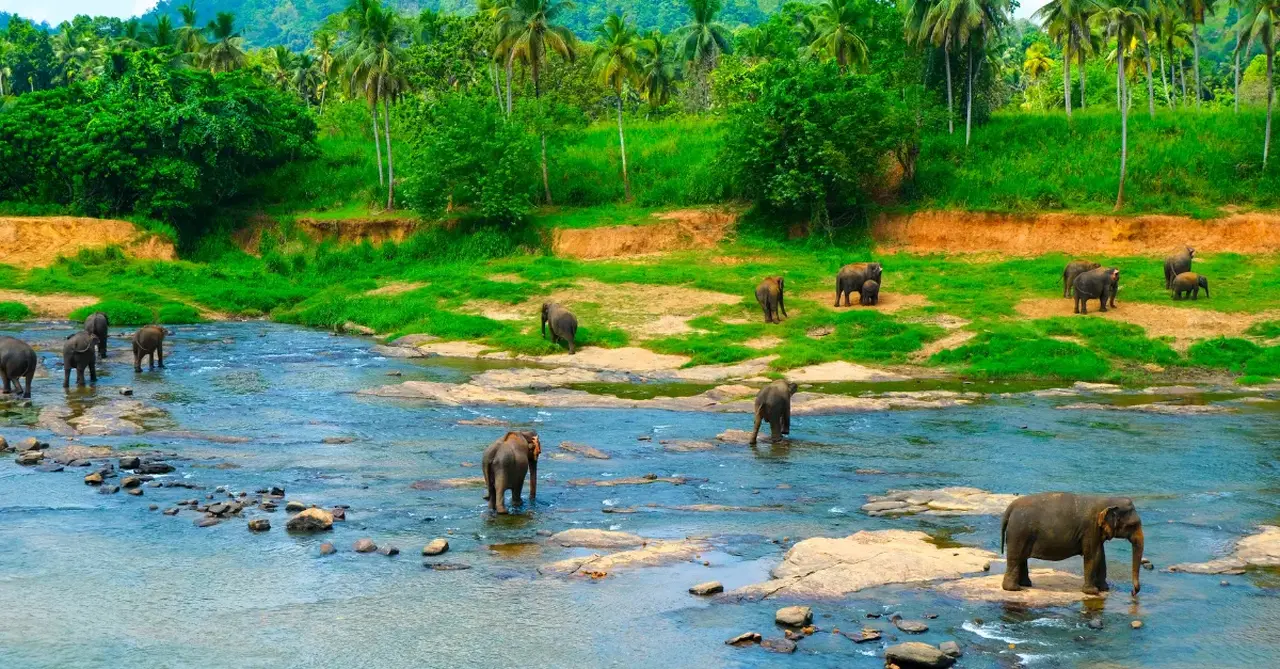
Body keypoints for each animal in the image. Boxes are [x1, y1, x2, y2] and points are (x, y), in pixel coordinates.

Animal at [1001, 492, 1144, 596]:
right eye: (1132, 525)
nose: (1133, 592)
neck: (1106, 500)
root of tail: (1011, 507)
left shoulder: (1095, 532)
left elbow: (1101, 556)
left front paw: (1104, 588)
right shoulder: (1090, 529)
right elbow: (1094, 556)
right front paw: (1092, 592)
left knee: (1021, 557)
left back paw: (1025, 585)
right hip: (1019, 532)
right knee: (1016, 557)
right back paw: (1014, 589)